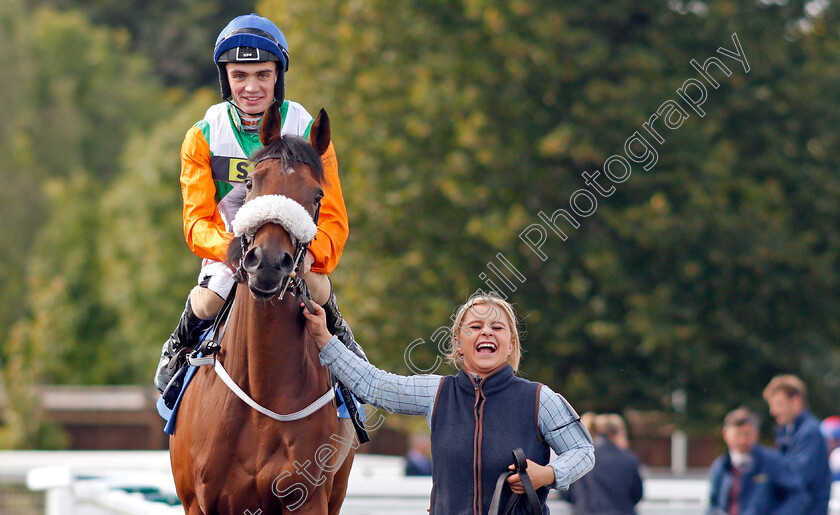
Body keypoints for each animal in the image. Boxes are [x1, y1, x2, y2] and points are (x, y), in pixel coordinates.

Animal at [169, 106, 356, 515]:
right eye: (252, 182)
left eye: (317, 195)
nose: (268, 263)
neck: (263, 389)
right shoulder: (201, 503)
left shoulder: (308, 499)